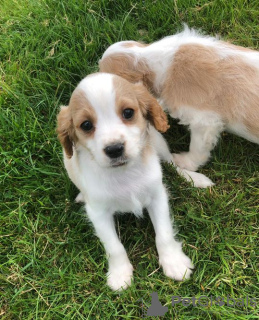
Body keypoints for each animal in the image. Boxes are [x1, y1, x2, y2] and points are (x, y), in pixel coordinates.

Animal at [55, 72, 203, 290]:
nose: (115, 149)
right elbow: (114, 246)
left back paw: (195, 178)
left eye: (128, 112)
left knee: (172, 163)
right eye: (86, 125)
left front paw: (174, 262)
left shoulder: (157, 196)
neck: (123, 172)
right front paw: (120, 274)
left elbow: (164, 234)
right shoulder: (98, 213)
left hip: (159, 142)